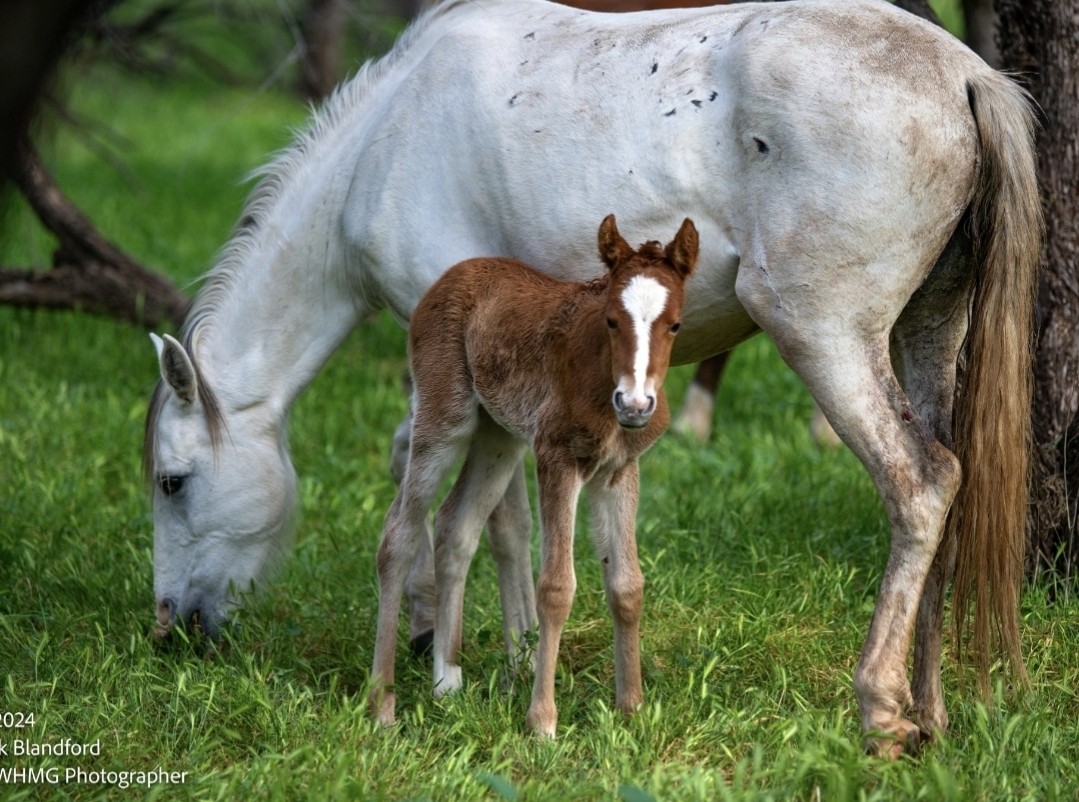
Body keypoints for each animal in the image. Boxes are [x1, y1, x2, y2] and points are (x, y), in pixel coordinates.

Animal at [372, 215, 697, 734]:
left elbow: (627, 585)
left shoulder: (619, 470)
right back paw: (381, 703)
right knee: (399, 532)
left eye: (675, 324)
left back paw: (447, 683)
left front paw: (632, 709)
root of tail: (451, 275)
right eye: (611, 320)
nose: (635, 404)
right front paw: (541, 721)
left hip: (498, 437)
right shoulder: (557, 458)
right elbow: (556, 587)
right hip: (445, 418)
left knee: (456, 525)